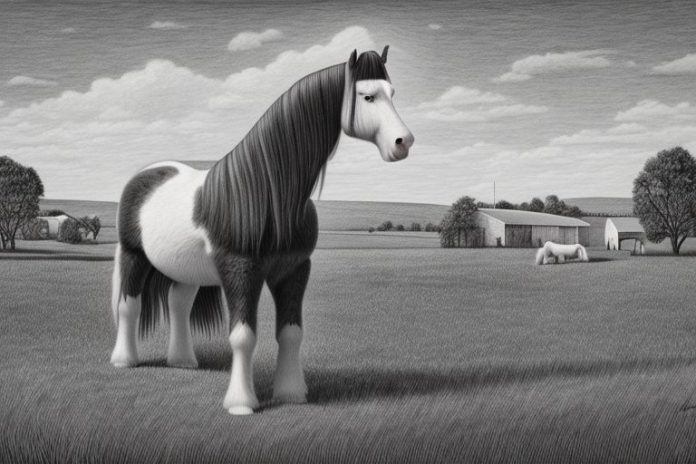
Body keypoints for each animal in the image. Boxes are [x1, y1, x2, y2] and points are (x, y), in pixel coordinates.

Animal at [109, 46, 414, 415]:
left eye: (392, 93)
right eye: (367, 96)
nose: (404, 142)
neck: (268, 193)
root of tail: (147, 174)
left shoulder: (294, 270)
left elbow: (291, 333)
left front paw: (292, 394)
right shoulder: (241, 270)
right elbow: (243, 336)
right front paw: (241, 403)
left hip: (185, 268)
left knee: (178, 304)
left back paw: (183, 361)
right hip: (133, 256)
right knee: (129, 306)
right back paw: (124, 360)